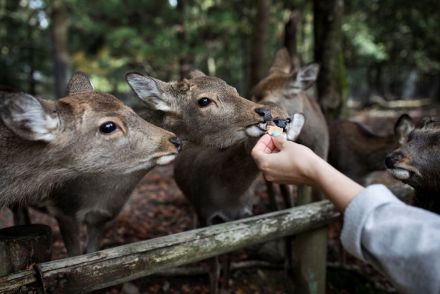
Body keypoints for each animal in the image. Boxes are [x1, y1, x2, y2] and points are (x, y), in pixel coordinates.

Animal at [126, 69, 306, 294]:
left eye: (234, 90)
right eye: (204, 100)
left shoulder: (241, 219)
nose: (271, 116)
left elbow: (229, 259)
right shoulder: (207, 214)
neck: (230, 194)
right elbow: (214, 266)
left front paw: (226, 287)